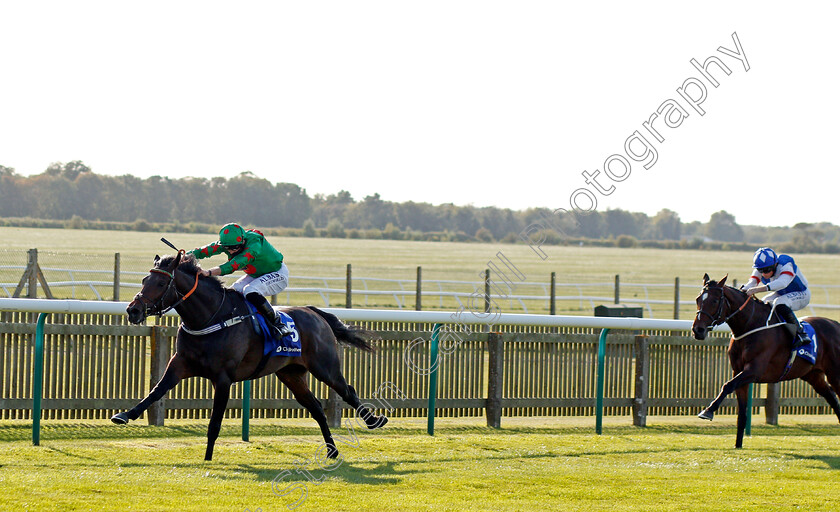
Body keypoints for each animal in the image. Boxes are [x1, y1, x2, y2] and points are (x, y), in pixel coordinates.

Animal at [111, 252, 388, 460]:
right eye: (144, 279)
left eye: (160, 284)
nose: (133, 310)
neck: (210, 317)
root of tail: (315, 312)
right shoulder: (180, 364)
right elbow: (155, 391)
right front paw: (124, 415)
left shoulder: (223, 378)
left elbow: (214, 423)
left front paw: (208, 458)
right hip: (291, 374)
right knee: (316, 407)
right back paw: (332, 450)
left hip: (325, 367)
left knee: (347, 390)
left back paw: (374, 421)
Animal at [688, 274, 840, 446]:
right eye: (698, 299)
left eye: (714, 301)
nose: (698, 330)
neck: (749, 325)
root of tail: (836, 324)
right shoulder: (739, 372)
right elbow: (741, 412)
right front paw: (738, 445)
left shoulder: (754, 371)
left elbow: (727, 385)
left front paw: (708, 411)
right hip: (813, 376)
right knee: (833, 399)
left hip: (835, 374)